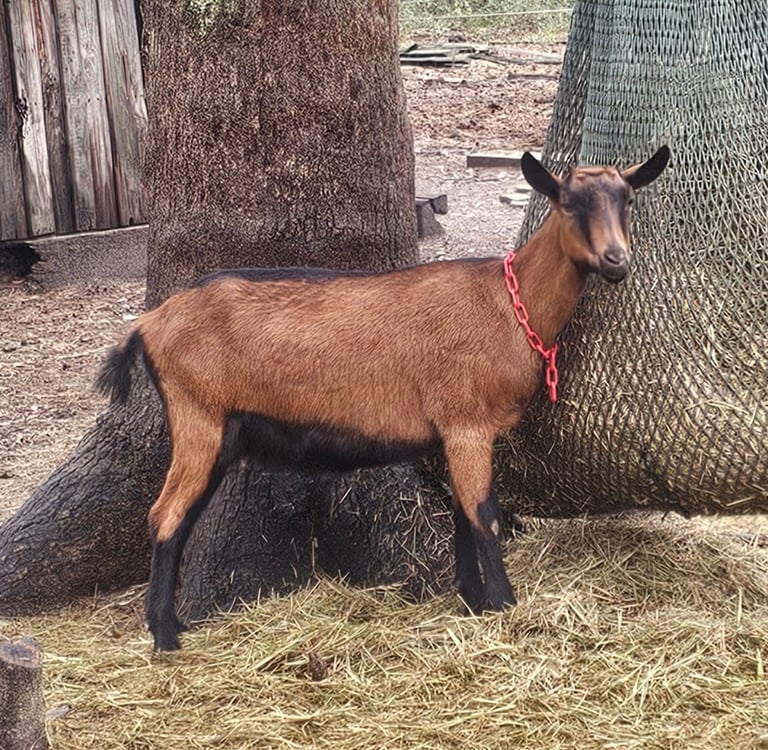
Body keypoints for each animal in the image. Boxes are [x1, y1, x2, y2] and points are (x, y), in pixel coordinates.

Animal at [98, 147, 670, 650]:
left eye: (627, 200)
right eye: (569, 203)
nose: (617, 262)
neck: (508, 303)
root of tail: (148, 325)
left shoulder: (450, 434)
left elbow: (461, 513)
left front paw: (471, 601)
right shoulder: (467, 423)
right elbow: (484, 514)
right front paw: (504, 606)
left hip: (218, 431)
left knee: (176, 518)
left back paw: (171, 624)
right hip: (198, 414)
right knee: (166, 515)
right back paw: (166, 637)